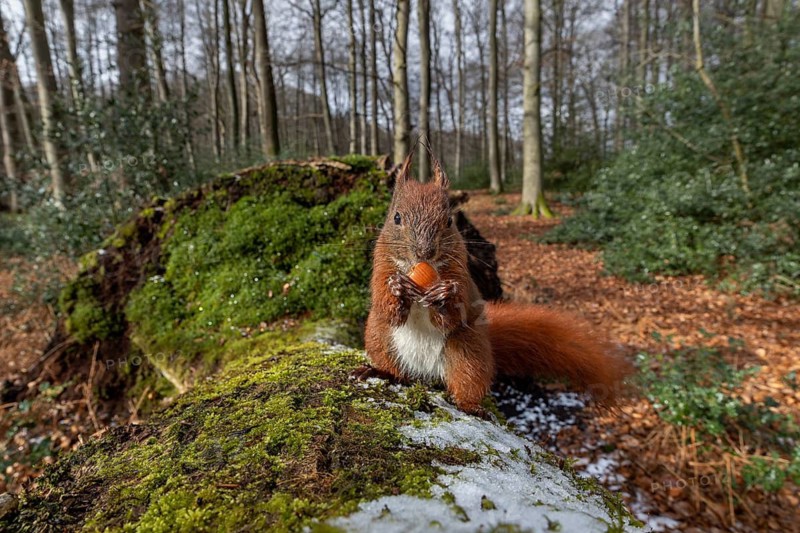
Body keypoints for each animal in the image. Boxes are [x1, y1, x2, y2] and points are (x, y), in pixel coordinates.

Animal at [353, 149, 633, 417]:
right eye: (396, 218)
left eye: (449, 221)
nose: (425, 252)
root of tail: (425, 374)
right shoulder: (381, 266)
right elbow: (386, 305)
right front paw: (396, 288)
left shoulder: (461, 274)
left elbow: (453, 314)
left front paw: (444, 295)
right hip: (379, 338)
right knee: (396, 370)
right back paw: (379, 372)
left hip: (468, 354)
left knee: (467, 384)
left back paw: (470, 406)